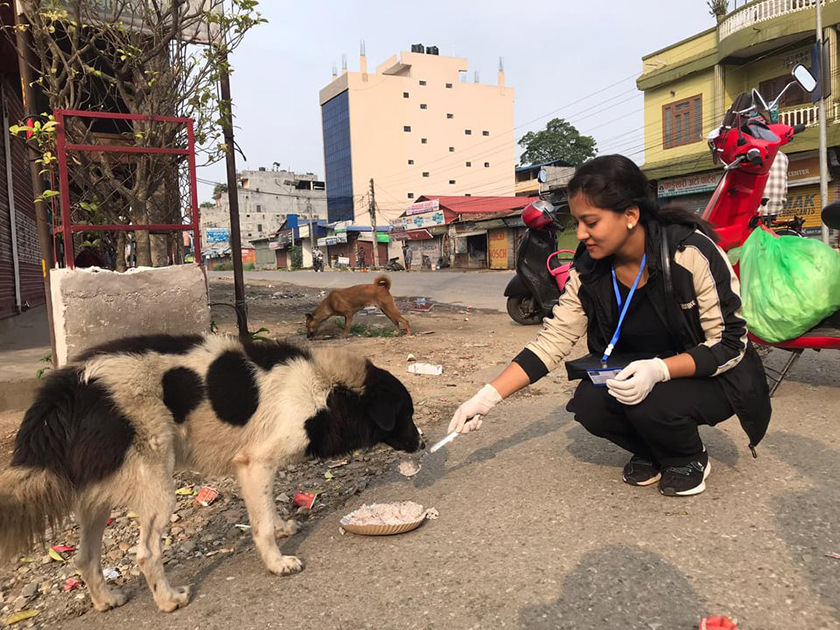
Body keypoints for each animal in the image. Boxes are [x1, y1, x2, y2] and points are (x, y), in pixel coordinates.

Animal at [0, 338, 420, 616]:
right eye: (407, 413)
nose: (419, 442)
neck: (327, 387)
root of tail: (74, 383)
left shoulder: (255, 468)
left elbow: (267, 511)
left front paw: (282, 526)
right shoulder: (255, 463)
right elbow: (261, 526)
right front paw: (277, 563)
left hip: (97, 495)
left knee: (86, 557)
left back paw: (105, 601)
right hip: (158, 485)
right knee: (146, 553)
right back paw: (168, 600)